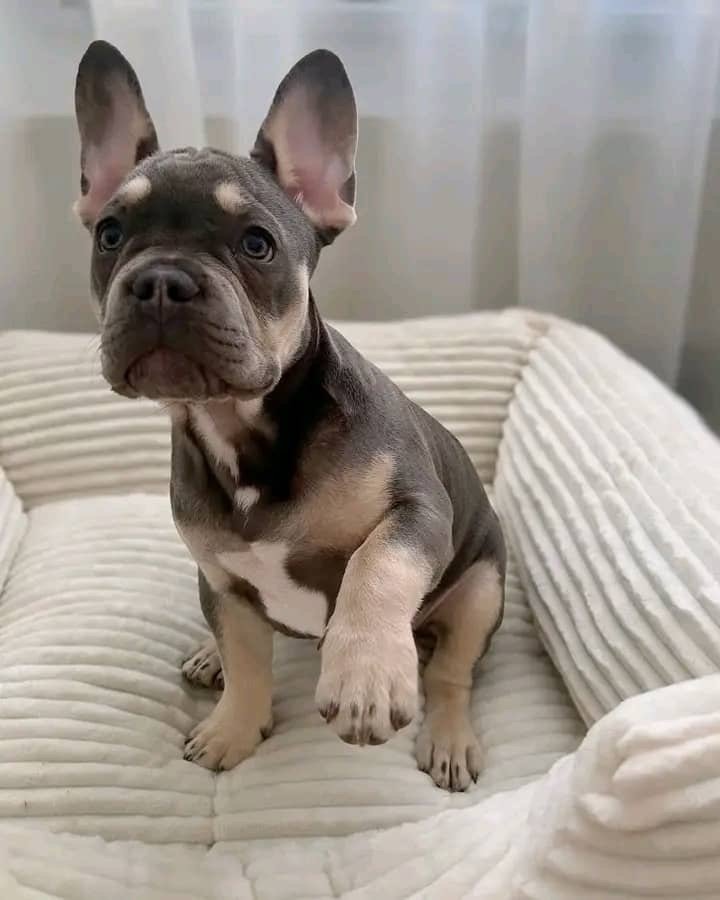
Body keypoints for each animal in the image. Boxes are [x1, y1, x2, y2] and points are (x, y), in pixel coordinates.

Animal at [73, 40, 505, 791]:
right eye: (109, 234)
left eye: (256, 244)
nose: (160, 281)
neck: (240, 428)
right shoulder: (220, 579)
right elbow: (248, 662)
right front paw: (234, 729)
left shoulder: (418, 510)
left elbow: (377, 564)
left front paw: (365, 672)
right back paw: (209, 657)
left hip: (481, 590)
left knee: (453, 672)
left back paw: (448, 734)